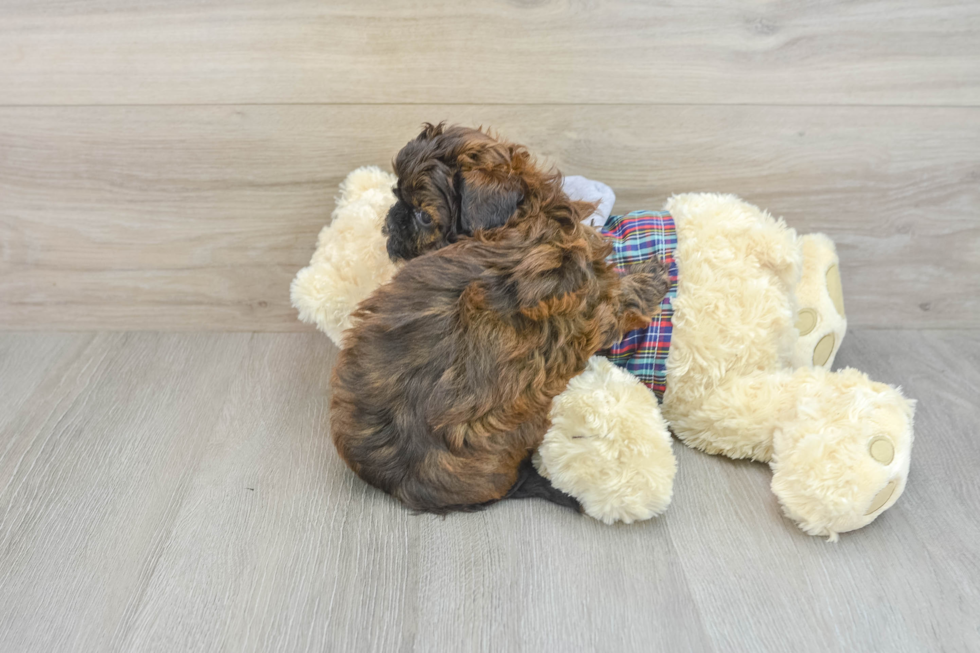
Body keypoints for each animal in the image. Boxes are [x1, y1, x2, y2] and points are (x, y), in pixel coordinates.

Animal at [330, 125, 668, 512]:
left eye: (423, 216)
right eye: (398, 195)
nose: (391, 219)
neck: (528, 215)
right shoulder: (594, 300)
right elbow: (621, 298)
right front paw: (650, 279)